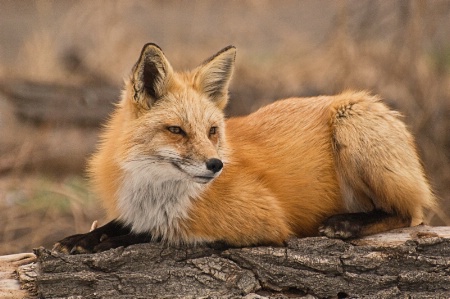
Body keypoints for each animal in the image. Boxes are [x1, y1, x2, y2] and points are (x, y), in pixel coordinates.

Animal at [53, 43, 436, 254]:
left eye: (212, 131)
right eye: (176, 130)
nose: (215, 165)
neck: (156, 193)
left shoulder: (263, 220)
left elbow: (155, 235)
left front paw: (110, 243)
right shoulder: (138, 211)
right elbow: (119, 224)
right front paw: (82, 239)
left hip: (352, 124)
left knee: (409, 213)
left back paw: (348, 223)